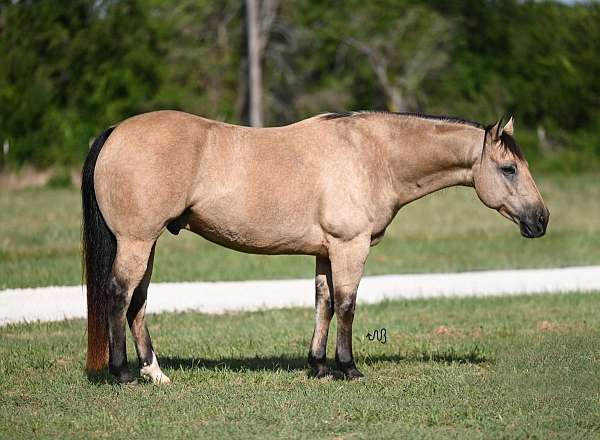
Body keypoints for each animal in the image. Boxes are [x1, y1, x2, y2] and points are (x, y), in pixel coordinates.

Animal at [83, 111, 548, 384]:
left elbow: (323, 302)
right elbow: (347, 304)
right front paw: (348, 367)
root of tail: (115, 131)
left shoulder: (326, 252)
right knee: (119, 295)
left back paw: (155, 372)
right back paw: (123, 374)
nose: (541, 219)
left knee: (138, 301)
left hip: (148, 243)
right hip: (137, 241)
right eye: (508, 169)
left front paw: (319, 365)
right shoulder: (350, 247)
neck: (373, 154)